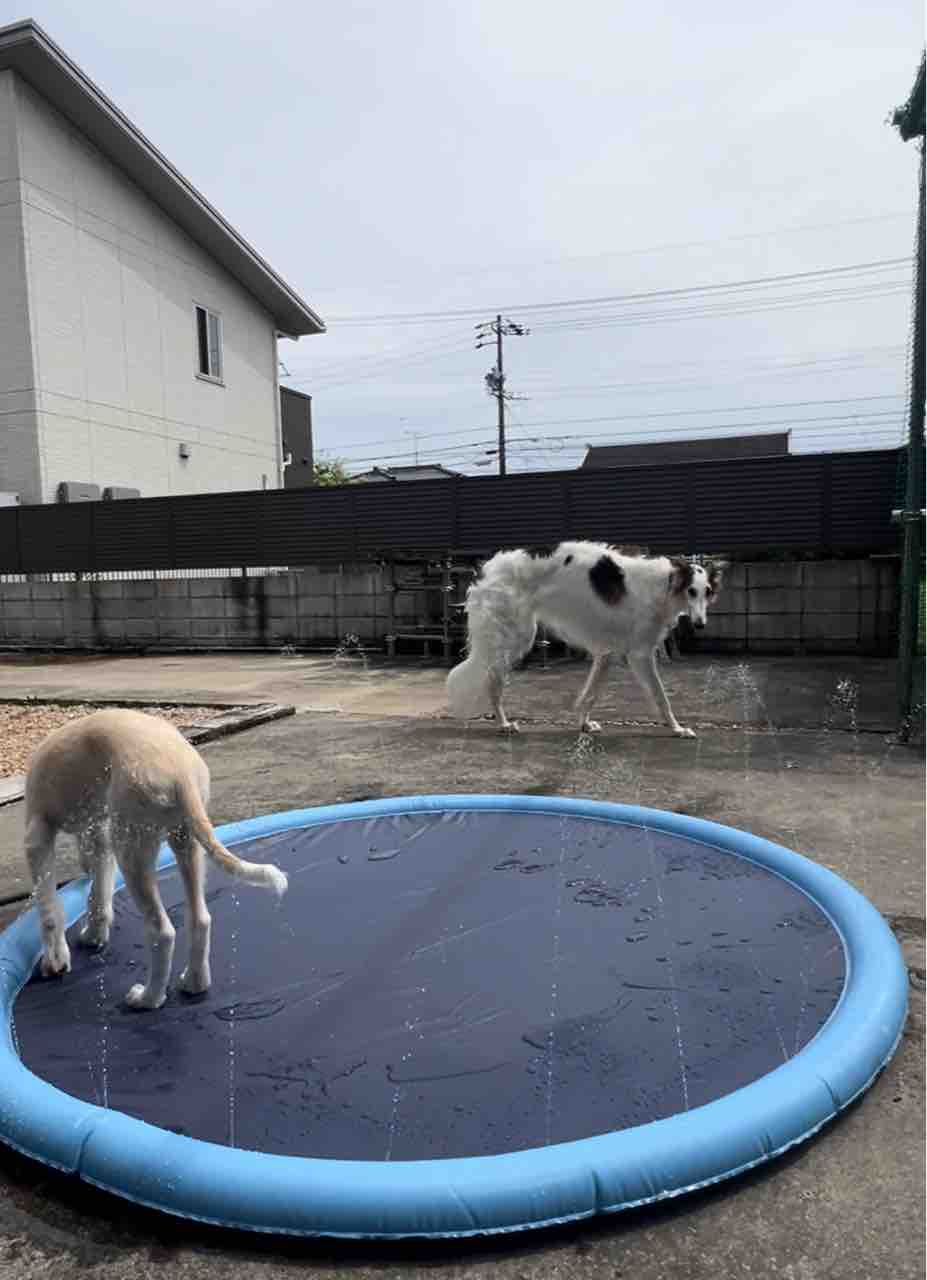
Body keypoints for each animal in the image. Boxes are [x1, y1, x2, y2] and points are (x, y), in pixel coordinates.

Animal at [24, 709, 288, 1011]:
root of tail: (182, 773)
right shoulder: (100, 834)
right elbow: (98, 896)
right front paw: (93, 936)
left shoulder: (38, 832)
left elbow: (49, 907)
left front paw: (54, 960)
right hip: (184, 839)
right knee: (200, 918)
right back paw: (194, 983)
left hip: (133, 849)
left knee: (162, 932)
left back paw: (148, 998)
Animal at [446, 542, 725, 738]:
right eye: (691, 591)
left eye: (707, 591)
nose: (700, 624)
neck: (664, 585)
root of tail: (488, 569)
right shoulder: (640, 654)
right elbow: (661, 696)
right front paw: (678, 729)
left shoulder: (606, 653)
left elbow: (591, 694)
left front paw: (584, 724)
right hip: (514, 637)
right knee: (492, 682)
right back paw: (503, 724)